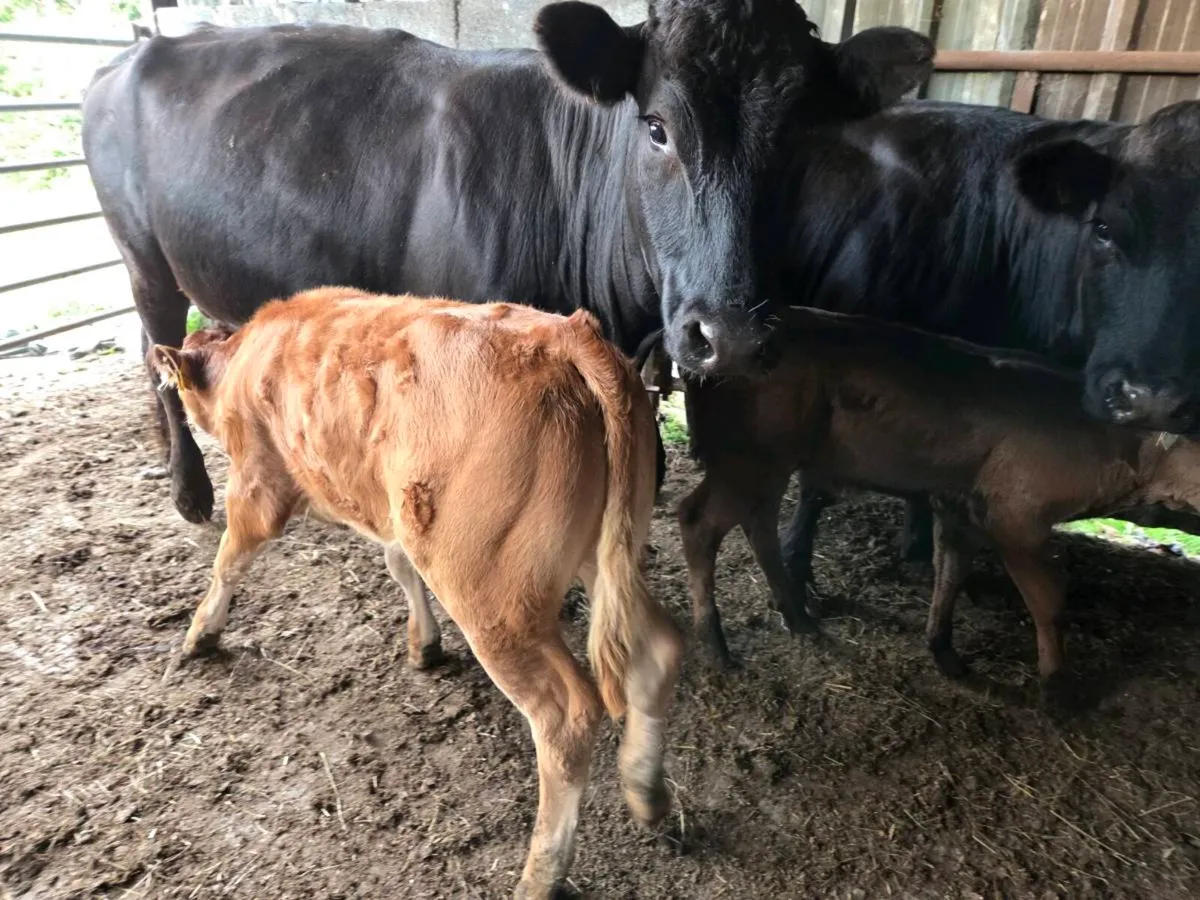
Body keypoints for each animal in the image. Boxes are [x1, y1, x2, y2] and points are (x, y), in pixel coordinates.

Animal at [81, 1, 935, 525]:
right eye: (656, 126)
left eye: (800, 136)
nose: (730, 337)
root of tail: (138, 50)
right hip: (142, 256)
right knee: (155, 338)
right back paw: (189, 489)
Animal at [149, 287, 684, 899]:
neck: (246, 357)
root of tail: (567, 335)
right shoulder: (392, 512)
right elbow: (398, 564)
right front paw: (424, 644)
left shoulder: (258, 486)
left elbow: (229, 560)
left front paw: (200, 634)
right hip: (606, 551)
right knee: (657, 651)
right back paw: (646, 793)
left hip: (489, 594)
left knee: (566, 716)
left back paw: (541, 873)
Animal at [678, 306, 1200, 713]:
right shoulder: (1017, 518)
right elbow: (1049, 600)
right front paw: (1058, 689)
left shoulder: (959, 507)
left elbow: (949, 571)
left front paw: (945, 653)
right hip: (748, 457)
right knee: (698, 521)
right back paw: (716, 644)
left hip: (770, 463)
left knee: (760, 523)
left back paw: (798, 616)